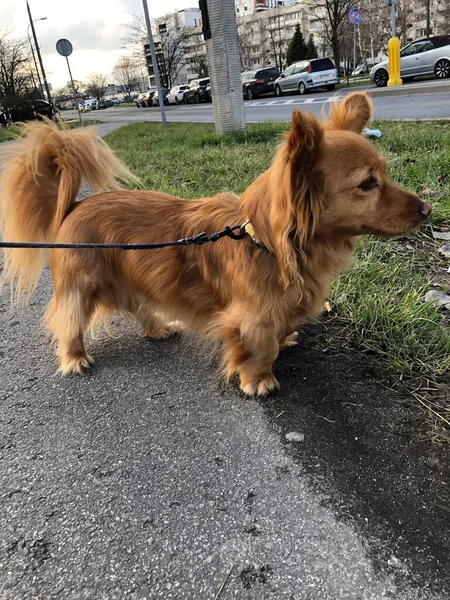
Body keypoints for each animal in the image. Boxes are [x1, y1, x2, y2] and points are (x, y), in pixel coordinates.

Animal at [0, 92, 430, 394]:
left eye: (386, 174)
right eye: (367, 184)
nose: (428, 208)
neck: (265, 243)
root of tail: (72, 206)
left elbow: (282, 331)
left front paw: (287, 337)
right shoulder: (251, 317)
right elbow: (261, 347)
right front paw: (258, 380)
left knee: (138, 306)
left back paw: (158, 328)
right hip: (80, 287)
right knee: (68, 320)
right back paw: (75, 357)